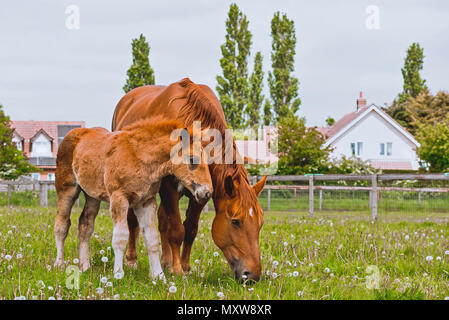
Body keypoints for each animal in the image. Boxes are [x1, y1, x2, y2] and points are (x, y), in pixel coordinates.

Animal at [53, 118, 212, 280]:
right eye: (192, 159)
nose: (207, 192)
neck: (139, 156)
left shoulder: (146, 201)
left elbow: (152, 238)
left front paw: (159, 276)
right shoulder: (119, 198)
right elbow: (121, 237)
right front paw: (118, 274)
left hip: (92, 195)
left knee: (85, 225)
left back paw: (84, 267)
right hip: (67, 189)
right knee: (62, 224)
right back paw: (59, 265)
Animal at [112, 77, 266, 280]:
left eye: (260, 223)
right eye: (235, 221)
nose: (252, 275)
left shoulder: (203, 193)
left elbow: (190, 229)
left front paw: (184, 266)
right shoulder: (168, 187)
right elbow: (177, 229)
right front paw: (178, 270)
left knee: (163, 220)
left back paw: (165, 261)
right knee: (133, 220)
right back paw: (132, 260)